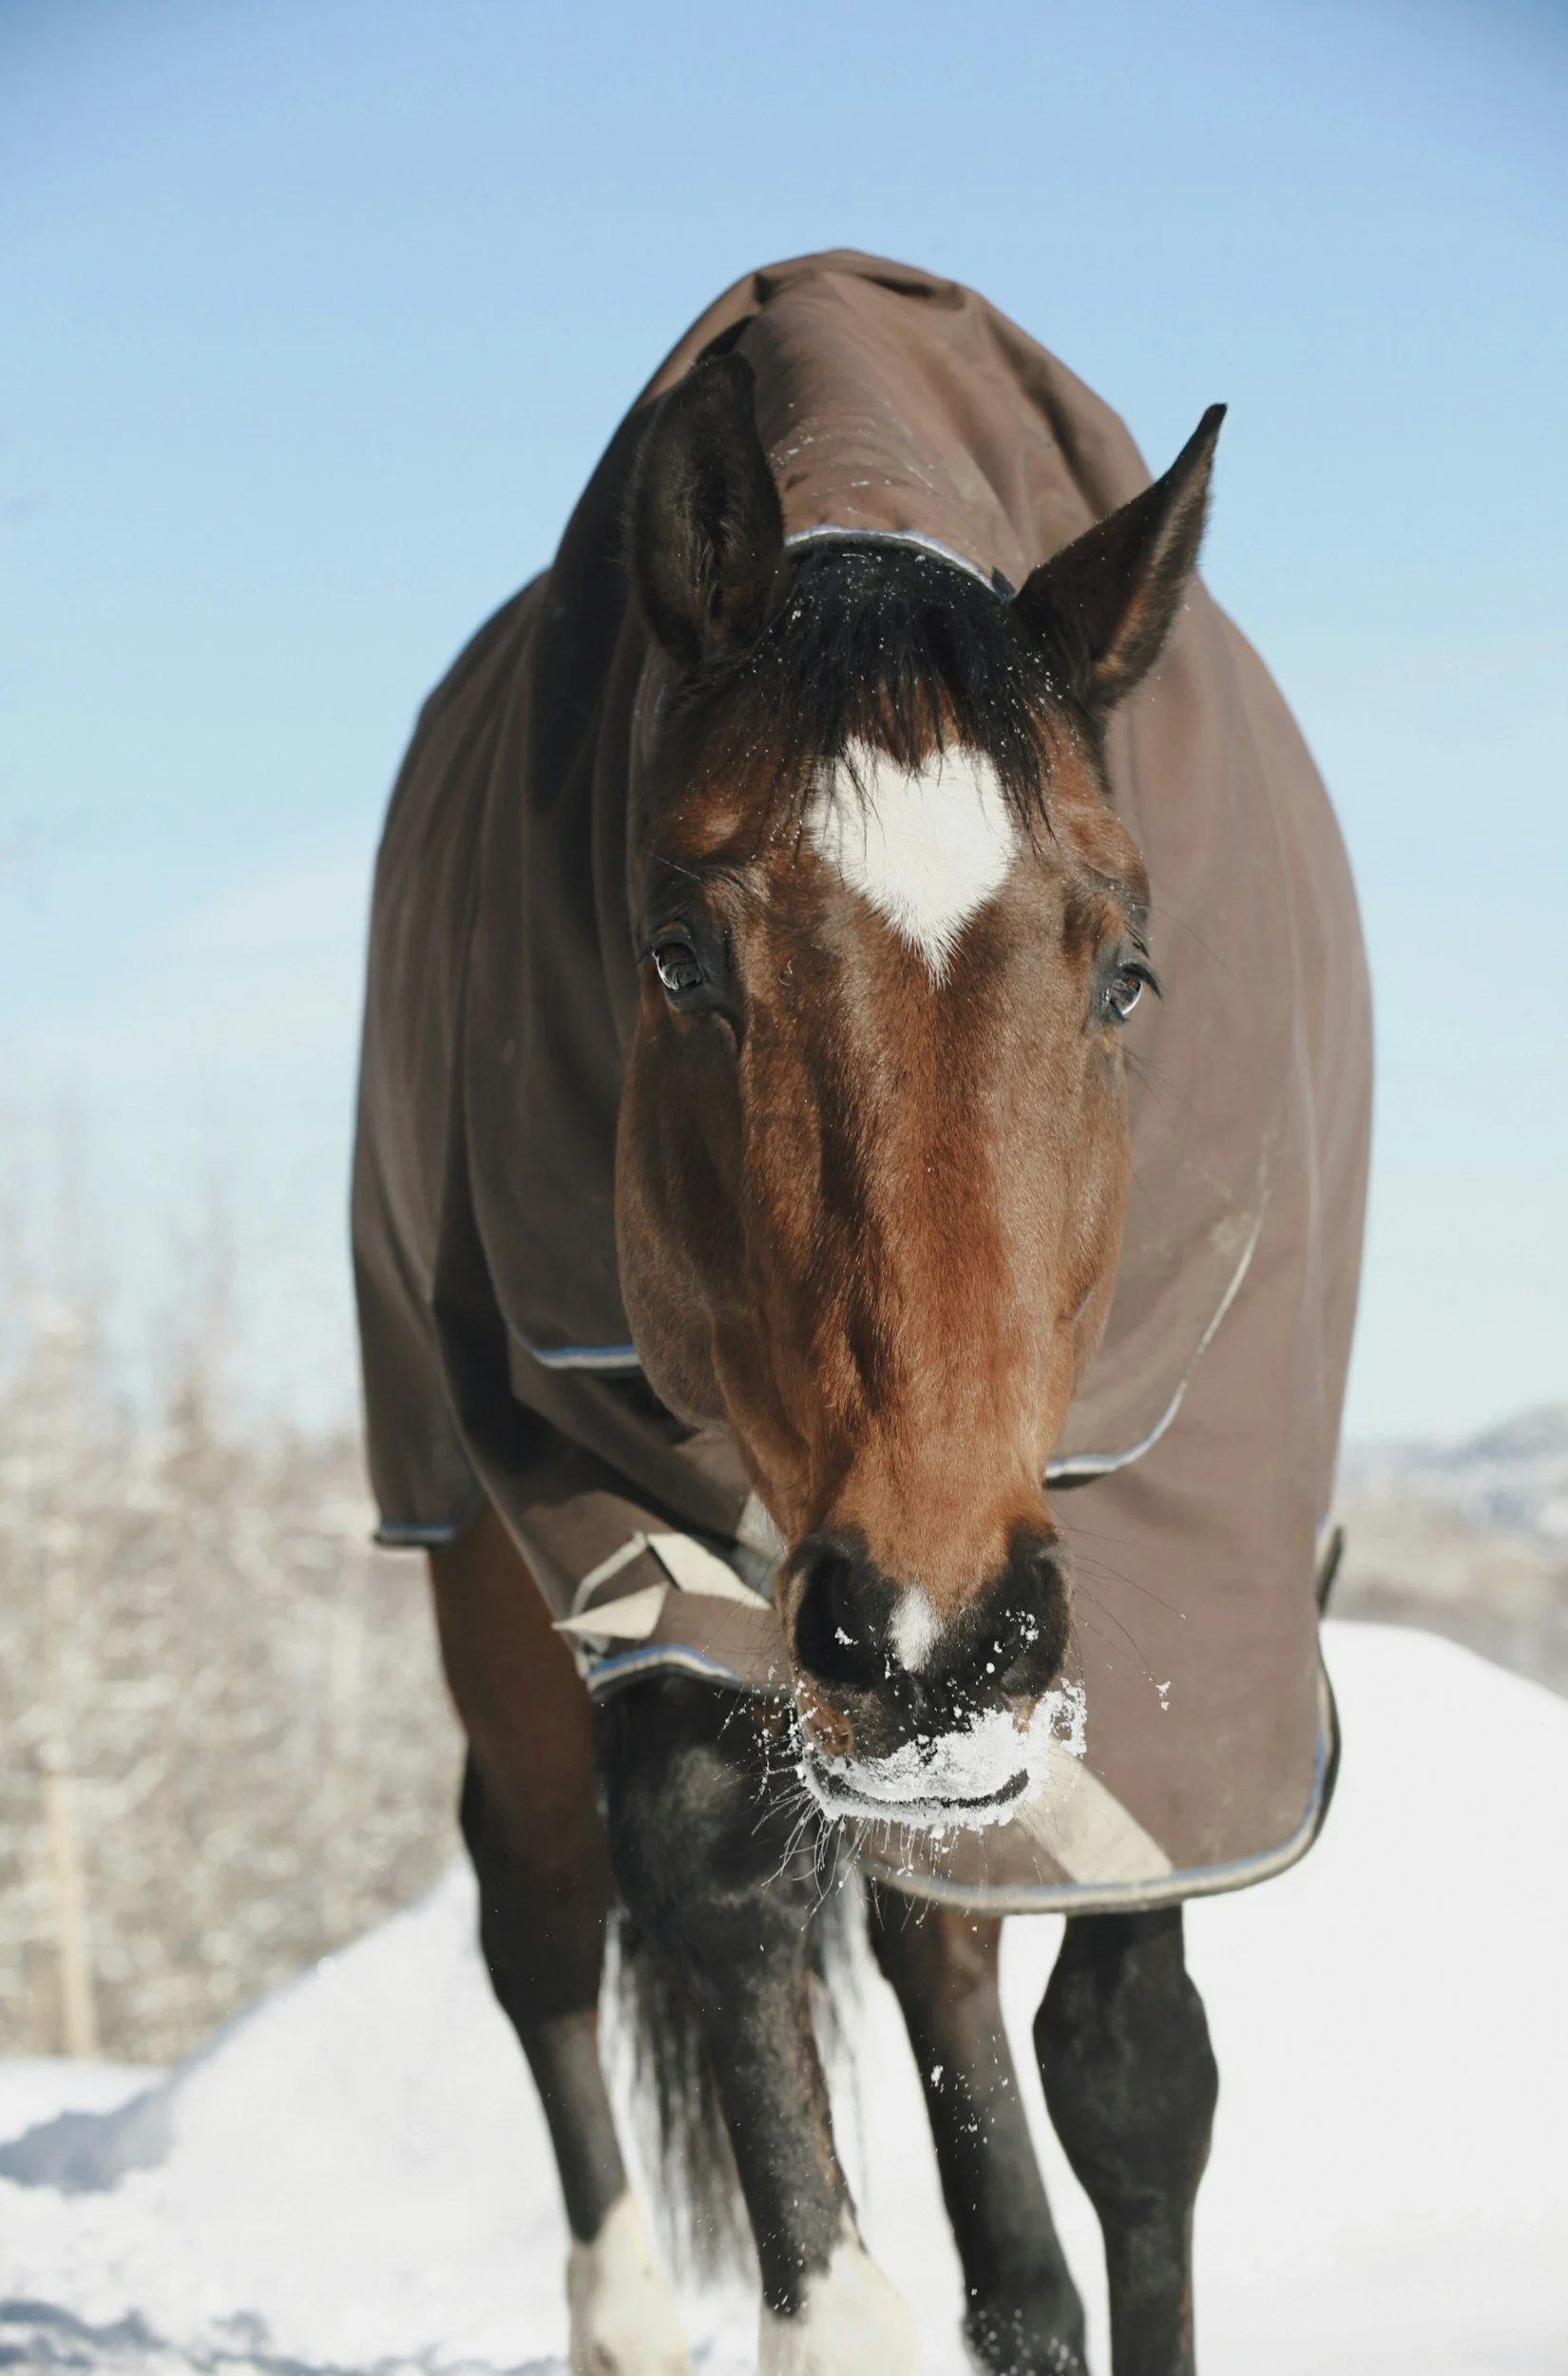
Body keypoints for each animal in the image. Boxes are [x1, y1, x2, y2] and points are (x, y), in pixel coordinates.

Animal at [352, 252, 1371, 2376]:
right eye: (676, 953)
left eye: (1128, 969)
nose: (928, 1631)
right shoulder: (599, 1479)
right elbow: (717, 1877)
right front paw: (840, 2307)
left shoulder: (1192, 1541)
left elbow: (1132, 2070)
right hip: (480, 1534)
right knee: (549, 1907)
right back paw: (629, 2317)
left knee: (936, 1931)